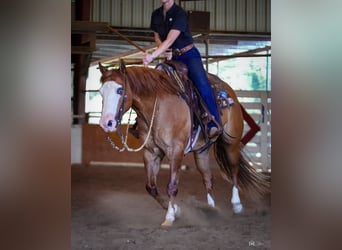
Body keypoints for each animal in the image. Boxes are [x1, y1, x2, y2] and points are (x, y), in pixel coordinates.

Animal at [97, 60, 270, 227]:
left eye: (120, 90)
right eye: (100, 92)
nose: (106, 123)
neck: (158, 107)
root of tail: (228, 91)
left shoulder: (176, 151)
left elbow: (172, 186)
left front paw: (170, 217)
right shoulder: (151, 153)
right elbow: (151, 187)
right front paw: (177, 210)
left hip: (231, 143)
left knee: (234, 169)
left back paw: (236, 205)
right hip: (202, 151)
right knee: (208, 178)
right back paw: (211, 209)